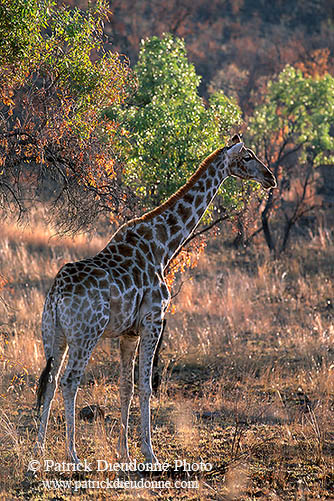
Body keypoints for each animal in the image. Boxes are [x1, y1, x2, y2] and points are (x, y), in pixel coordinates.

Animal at [36, 135, 276, 462]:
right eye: (248, 156)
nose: (270, 178)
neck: (163, 245)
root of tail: (57, 294)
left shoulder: (129, 332)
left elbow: (125, 386)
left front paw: (124, 453)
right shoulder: (154, 319)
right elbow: (146, 387)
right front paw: (150, 453)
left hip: (54, 333)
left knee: (48, 381)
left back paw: (38, 450)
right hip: (87, 334)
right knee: (69, 380)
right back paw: (72, 455)